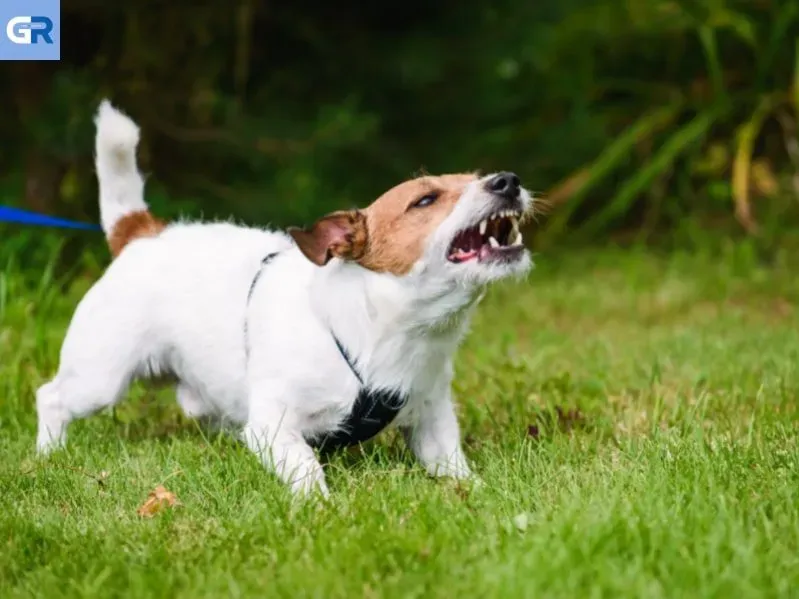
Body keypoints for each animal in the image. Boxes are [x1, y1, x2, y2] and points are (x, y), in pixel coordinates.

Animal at [37, 102, 536, 496]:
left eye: (478, 177)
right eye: (425, 200)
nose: (508, 181)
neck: (381, 331)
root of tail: (142, 233)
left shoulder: (432, 418)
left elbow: (451, 464)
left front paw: (476, 492)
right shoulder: (272, 426)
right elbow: (306, 467)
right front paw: (320, 507)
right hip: (99, 377)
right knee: (51, 397)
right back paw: (48, 456)